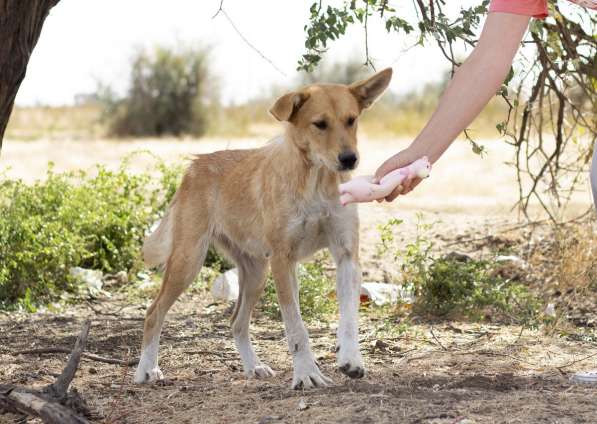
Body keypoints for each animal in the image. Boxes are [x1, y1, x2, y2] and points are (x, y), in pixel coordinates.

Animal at [133, 65, 394, 388]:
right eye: (319, 124)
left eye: (351, 120)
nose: (349, 159)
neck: (316, 181)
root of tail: (194, 166)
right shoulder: (284, 260)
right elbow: (296, 328)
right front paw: (306, 373)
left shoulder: (346, 255)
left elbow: (348, 318)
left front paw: (351, 360)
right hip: (188, 261)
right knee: (153, 312)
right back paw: (146, 369)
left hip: (256, 271)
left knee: (236, 323)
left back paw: (253, 366)